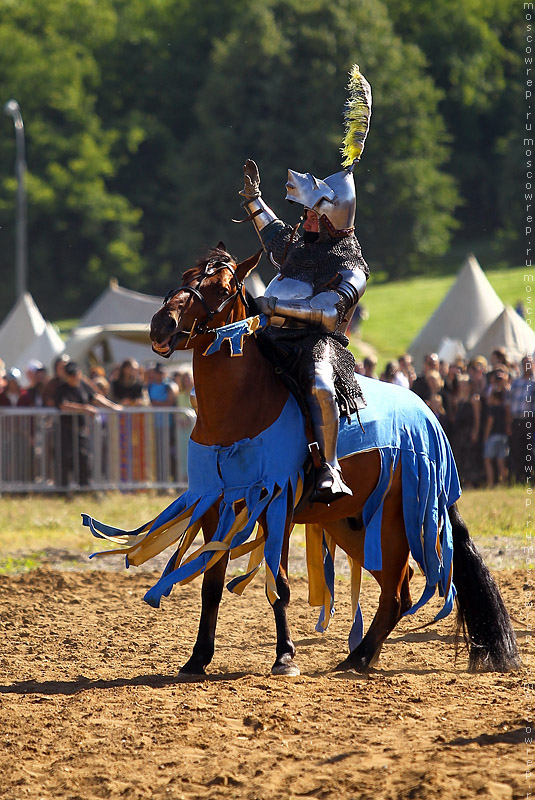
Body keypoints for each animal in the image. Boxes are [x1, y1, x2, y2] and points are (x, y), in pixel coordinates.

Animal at [86, 242, 520, 676]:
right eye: (185, 277)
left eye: (222, 287)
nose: (162, 324)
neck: (239, 408)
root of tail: (428, 416)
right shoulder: (214, 506)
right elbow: (211, 584)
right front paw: (198, 658)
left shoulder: (277, 506)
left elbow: (278, 585)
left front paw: (285, 656)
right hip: (352, 524)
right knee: (398, 589)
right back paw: (359, 657)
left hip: (394, 519)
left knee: (396, 593)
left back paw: (359, 657)